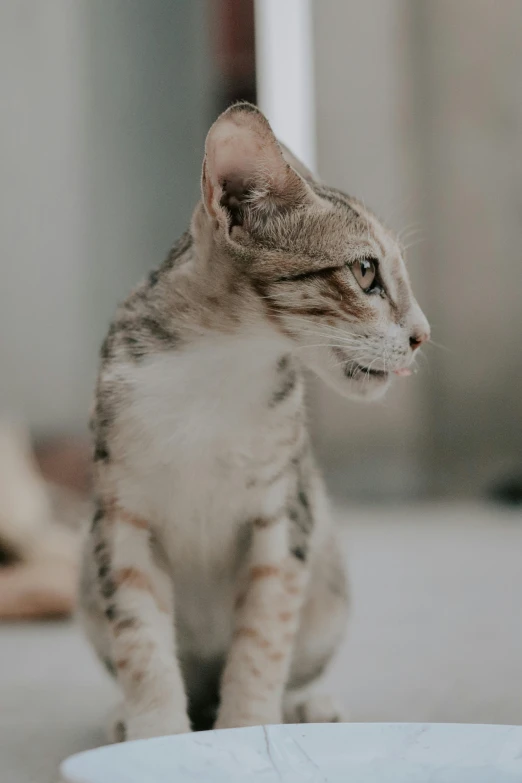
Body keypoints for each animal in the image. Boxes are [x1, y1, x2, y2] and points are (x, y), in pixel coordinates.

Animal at [78, 99, 426, 740]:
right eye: (366, 271)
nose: (423, 335)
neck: (217, 371)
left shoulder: (283, 514)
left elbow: (263, 638)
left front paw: (246, 727)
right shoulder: (122, 516)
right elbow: (140, 641)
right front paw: (156, 736)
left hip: (328, 584)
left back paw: (305, 706)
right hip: (86, 577)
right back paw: (123, 717)